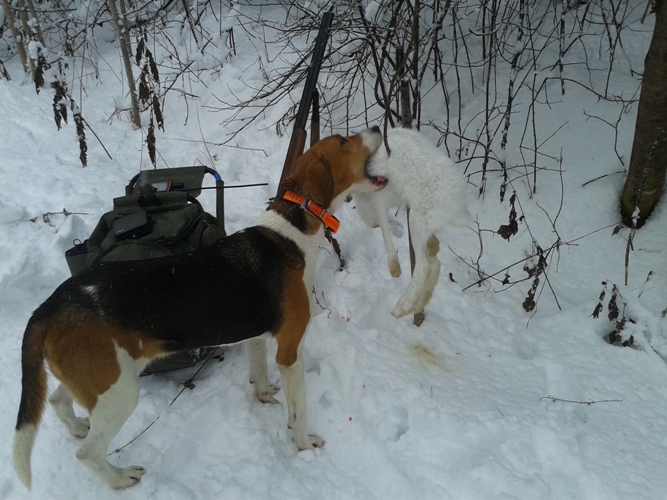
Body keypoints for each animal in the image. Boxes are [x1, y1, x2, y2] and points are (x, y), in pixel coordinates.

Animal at [13, 127, 385, 489]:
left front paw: (264, 395)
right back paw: (119, 478)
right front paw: (305, 445)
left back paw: (78, 427)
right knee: (87, 454)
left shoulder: (255, 335)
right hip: (119, 393)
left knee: (58, 402)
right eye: (343, 141)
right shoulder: (290, 352)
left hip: (95, 379)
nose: (377, 127)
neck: (293, 229)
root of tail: (49, 306)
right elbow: (300, 411)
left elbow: (259, 373)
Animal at [354, 127, 469, 319]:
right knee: (434, 263)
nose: (371, 225)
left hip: (417, 220)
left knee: (423, 266)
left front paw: (394, 268)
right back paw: (417, 306)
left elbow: (385, 229)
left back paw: (401, 308)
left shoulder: (379, 202)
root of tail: (456, 208)